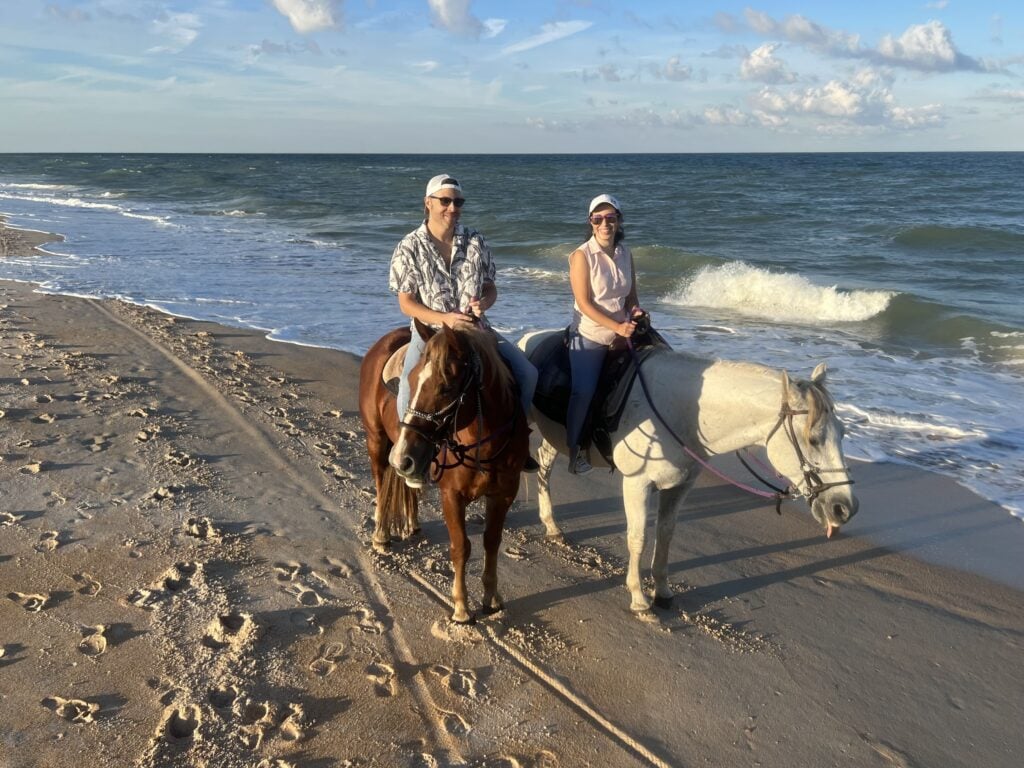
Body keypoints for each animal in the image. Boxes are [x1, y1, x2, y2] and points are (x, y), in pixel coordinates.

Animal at [358, 319, 528, 626]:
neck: (482, 444)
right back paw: (381, 534)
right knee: (380, 482)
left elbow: (491, 542)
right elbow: (460, 547)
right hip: (377, 440)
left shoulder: (503, 495)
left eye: (446, 388)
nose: (401, 457)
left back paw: (411, 522)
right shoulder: (451, 495)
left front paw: (491, 598)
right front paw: (461, 608)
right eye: (411, 381)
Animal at [516, 331, 860, 618]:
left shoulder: (681, 485)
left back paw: (551, 525)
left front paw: (662, 592)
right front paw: (639, 599)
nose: (845, 507)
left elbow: (666, 534)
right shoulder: (637, 483)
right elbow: (638, 538)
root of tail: (530, 338)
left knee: (545, 464)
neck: (683, 413)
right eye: (813, 439)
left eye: (843, 434)